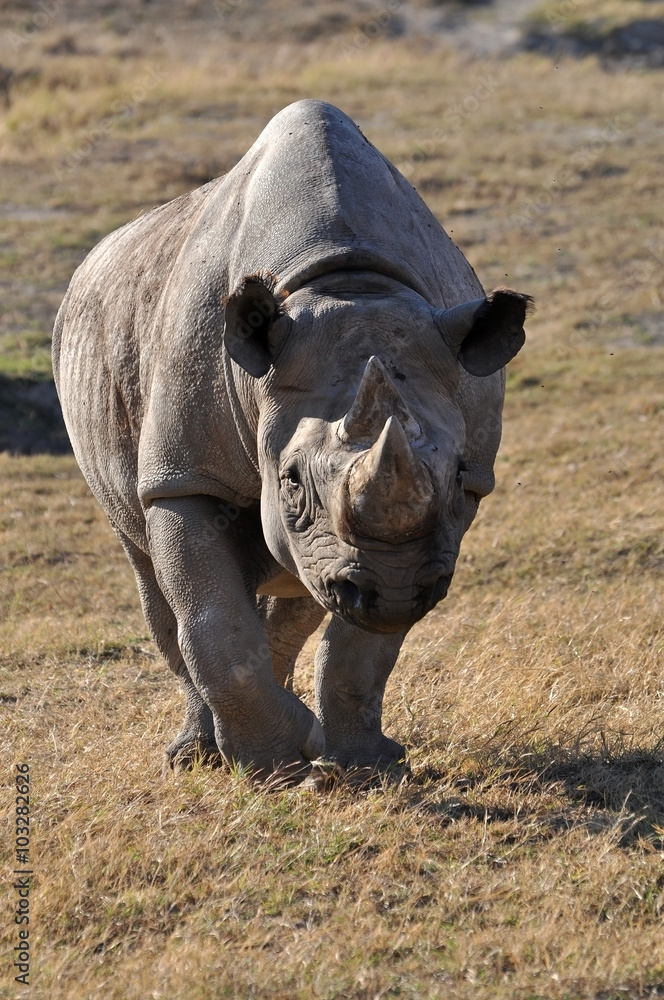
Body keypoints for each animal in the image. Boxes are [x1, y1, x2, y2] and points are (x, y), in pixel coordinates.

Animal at [52, 99, 530, 781]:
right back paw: (199, 756)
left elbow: (364, 645)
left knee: (298, 585)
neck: (343, 285)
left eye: (461, 477)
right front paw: (270, 766)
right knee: (154, 577)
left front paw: (363, 767)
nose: (389, 591)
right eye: (292, 483)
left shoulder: (421, 532)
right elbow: (210, 619)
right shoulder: (183, 476)